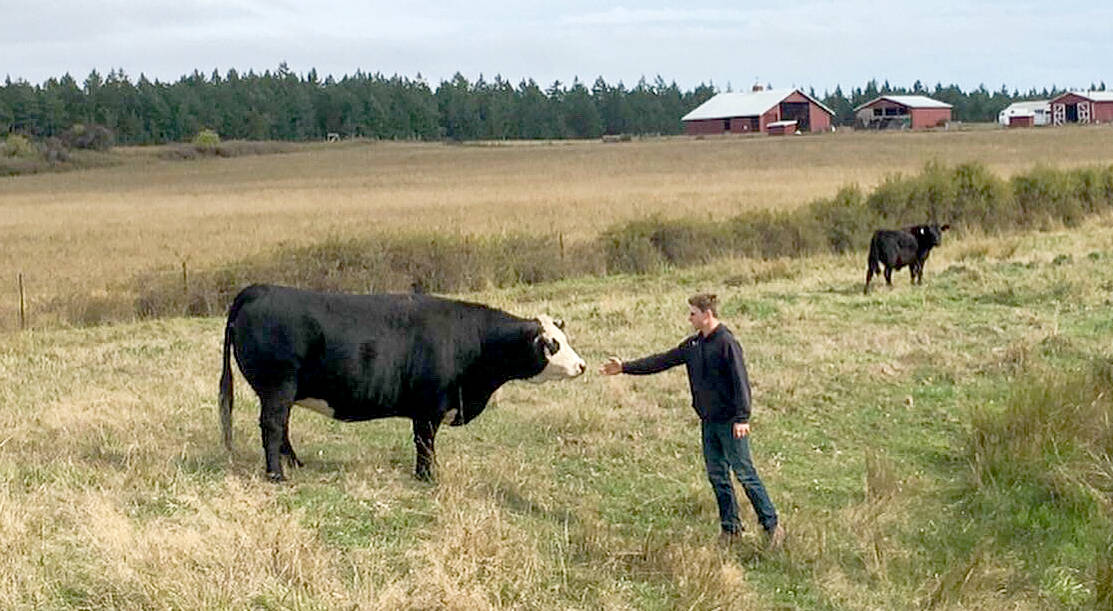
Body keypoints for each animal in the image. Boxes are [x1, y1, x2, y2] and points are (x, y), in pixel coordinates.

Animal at [217, 284, 587, 480]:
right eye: (552, 344)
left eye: (563, 338)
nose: (582, 365)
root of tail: (260, 289)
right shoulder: (429, 408)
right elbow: (425, 443)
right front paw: (427, 477)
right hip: (278, 386)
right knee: (272, 426)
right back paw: (277, 475)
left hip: (281, 390)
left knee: (281, 426)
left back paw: (295, 464)